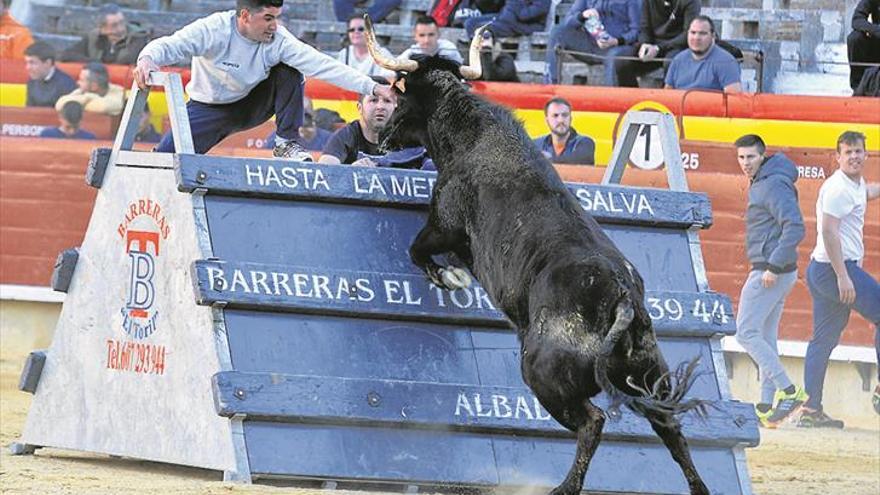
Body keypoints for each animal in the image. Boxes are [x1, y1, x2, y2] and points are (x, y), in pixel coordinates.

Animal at [368, 35, 712, 495]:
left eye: (398, 92)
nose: (382, 136)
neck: (467, 134)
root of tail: (620, 297)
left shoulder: (443, 225)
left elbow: (418, 251)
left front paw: (451, 278)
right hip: (647, 373)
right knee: (668, 425)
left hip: (542, 374)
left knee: (592, 422)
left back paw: (564, 487)